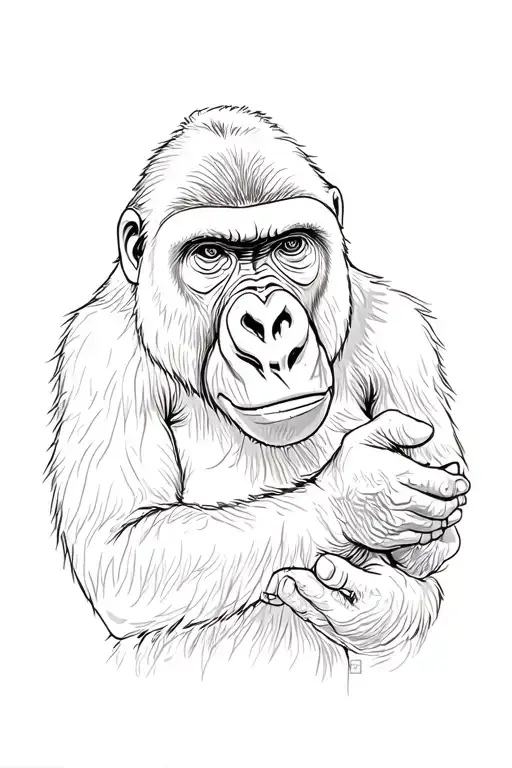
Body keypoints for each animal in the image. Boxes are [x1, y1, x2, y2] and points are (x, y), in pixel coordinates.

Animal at [47, 106, 468, 678]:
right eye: (210, 254)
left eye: (290, 246)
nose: (269, 324)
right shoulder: (99, 354)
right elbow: (122, 550)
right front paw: (360, 494)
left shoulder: (403, 334)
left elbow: (432, 555)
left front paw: (377, 612)